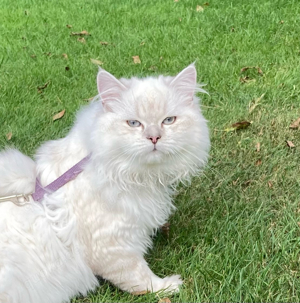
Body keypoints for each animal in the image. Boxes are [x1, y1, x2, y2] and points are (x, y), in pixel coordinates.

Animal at [0, 63, 210, 302]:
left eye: (168, 120)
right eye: (134, 123)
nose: (154, 137)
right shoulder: (112, 247)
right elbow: (141, 278)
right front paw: (169, 286)